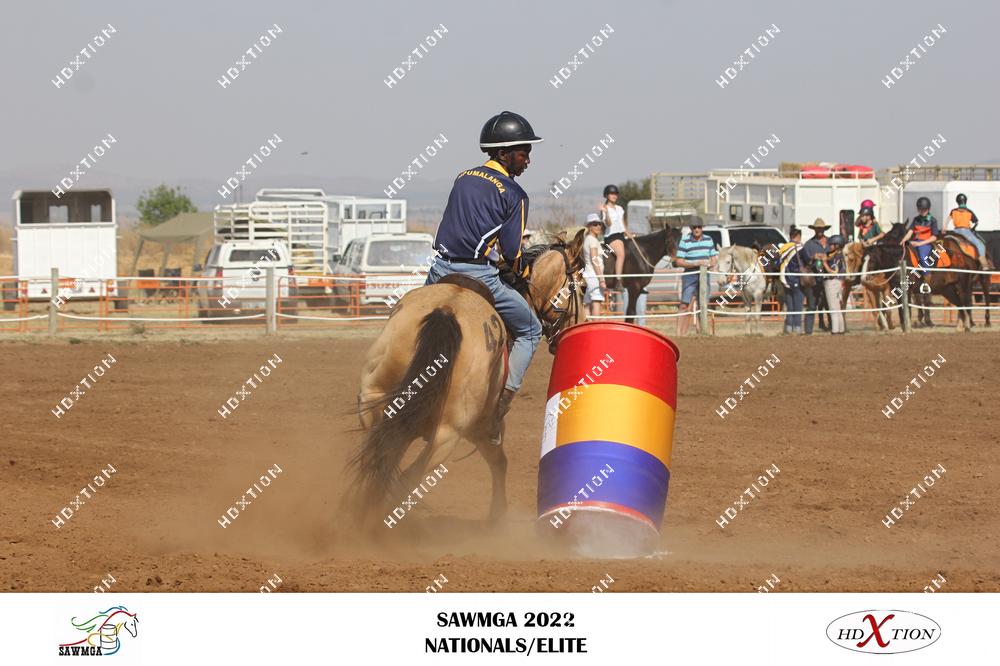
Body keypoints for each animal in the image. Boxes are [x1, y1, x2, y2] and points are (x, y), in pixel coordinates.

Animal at [350, 233, 586, 529]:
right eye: (584, 287)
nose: (579, 327)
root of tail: (446, 310)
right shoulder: (483, 427)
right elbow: (500, 461)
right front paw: (497, 516)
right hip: (447, 435)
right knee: (406, 478)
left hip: (375, 404)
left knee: (375, 464)